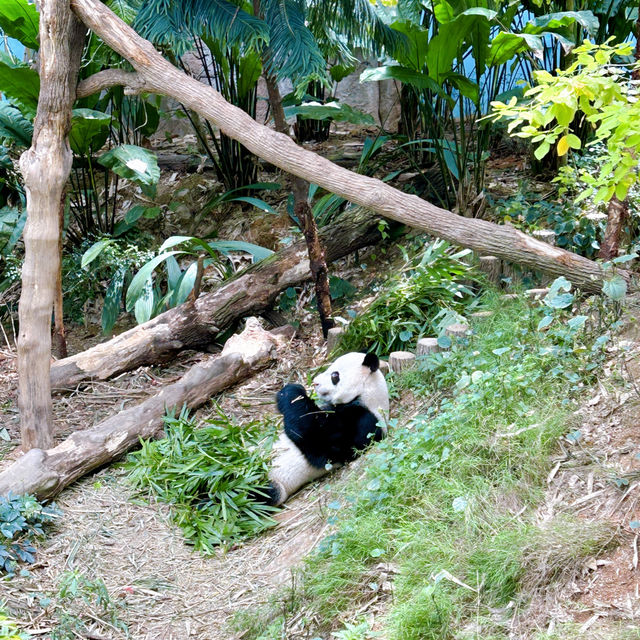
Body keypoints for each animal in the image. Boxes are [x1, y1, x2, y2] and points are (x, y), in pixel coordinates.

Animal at [262, 350, 388, 504]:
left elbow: (316, 438)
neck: (368, 394)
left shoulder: (363, 421)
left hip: (274, 483)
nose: (315, 382)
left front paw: (292, 391)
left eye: (334, 375)